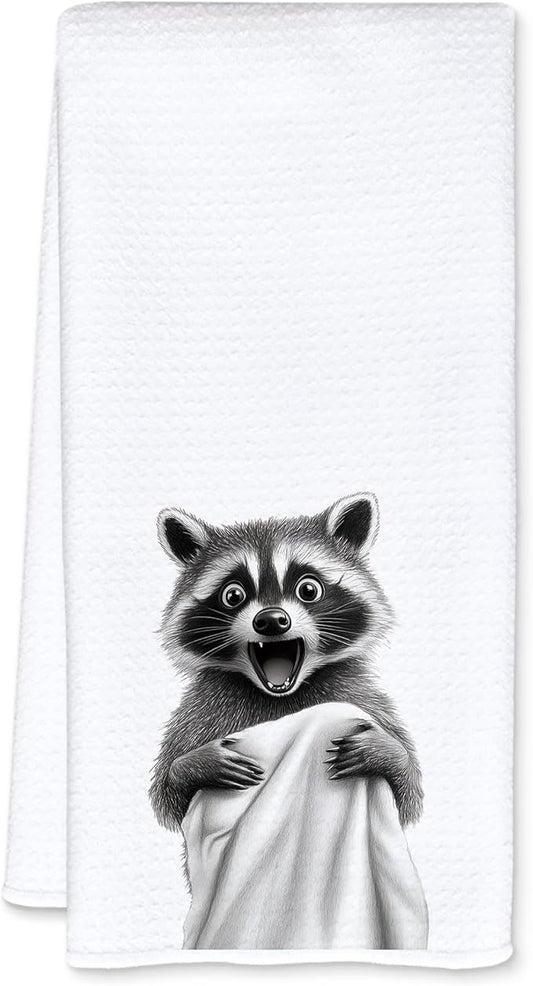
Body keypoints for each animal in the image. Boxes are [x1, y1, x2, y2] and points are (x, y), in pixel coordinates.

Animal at [150, 494, 423, 830]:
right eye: (233, 595)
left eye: (309, 589)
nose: (271, 620)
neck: (280, 695)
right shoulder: (198, 715)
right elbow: (167, 796)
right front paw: (194, 763)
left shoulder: (362, 700)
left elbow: (409, 794)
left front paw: (389, 752)